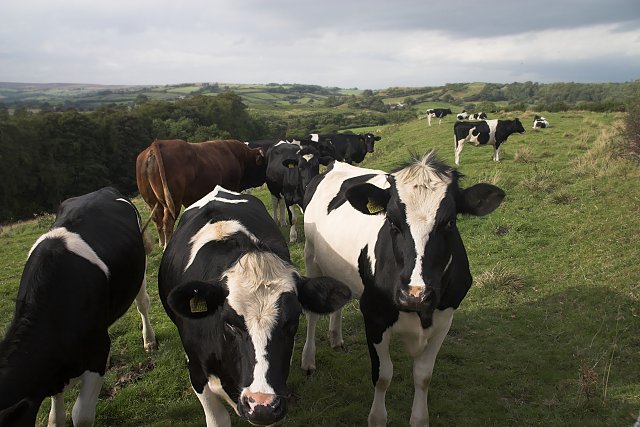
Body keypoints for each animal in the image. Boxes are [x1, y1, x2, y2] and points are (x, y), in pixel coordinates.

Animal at [0, 187, 156, 427]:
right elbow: (56, 417)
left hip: (140, 269)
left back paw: (149, 341)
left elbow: (81, 415)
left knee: (142, 305)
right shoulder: (54, 371)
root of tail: (103, 190)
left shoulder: (96, 353)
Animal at [135, 139, 264, 249]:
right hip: (173, 201)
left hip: (152, 201)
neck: (240, 157)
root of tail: (156, 144)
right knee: (168, 221)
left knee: (156, 218)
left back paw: (161, 243)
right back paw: (166, 245)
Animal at [300, 152, 504, 426]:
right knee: (312, 314)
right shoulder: (374, 316)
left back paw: (336, 338)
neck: (419, 312)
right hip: (311, 258)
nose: (415, 295)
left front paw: (419, 418)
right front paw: (377, 417)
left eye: (450, 222)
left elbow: (423, 376)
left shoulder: (444, 319)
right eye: (391, 221)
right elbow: (383, 375)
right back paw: (308, 360)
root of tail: (335, 164)